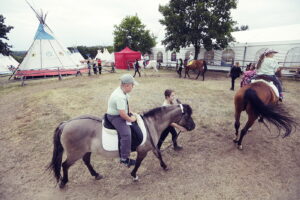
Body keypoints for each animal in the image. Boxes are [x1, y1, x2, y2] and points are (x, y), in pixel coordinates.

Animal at [47, 104, 196, 188]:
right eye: (187, 115)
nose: (193, 126)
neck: (150, 124)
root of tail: (66, 124)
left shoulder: (152, 147)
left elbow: (158, 155)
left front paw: (164, 166)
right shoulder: (143, 150)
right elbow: (139, 163)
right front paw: (134, 175)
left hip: (86, 151)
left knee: (86, 161)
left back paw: (96, 175)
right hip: (75, 153)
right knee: (65, 165)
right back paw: (63, 182)